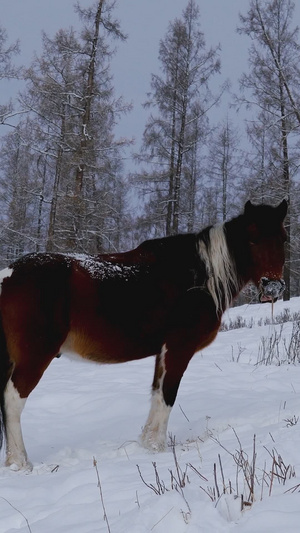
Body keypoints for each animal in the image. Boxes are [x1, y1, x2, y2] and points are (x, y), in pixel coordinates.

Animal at [0, 201, 288, 470]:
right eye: (251, 238)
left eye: (283, 238)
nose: (273, 286)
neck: (199, 277)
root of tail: (8, 276)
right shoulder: (178, 348)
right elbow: (168, 395)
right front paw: (157, 448)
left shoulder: (163, 351)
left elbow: (157, 392)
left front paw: (147, 444)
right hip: (35, 357)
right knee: (13, 401)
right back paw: (20, 463)